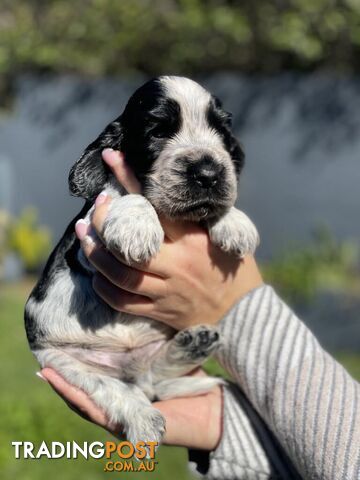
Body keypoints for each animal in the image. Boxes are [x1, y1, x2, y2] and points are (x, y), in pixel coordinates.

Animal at [24, 76, 258, 446]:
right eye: (158, 131)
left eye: (222, 132)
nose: (208, 173)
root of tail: (132, 371)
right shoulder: (86, 242)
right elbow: (124, 192)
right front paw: (136, 223)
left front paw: (234, 221)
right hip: (63, 362)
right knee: (120, 389)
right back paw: (143, 417)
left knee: (154, 379)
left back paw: (194, 343)